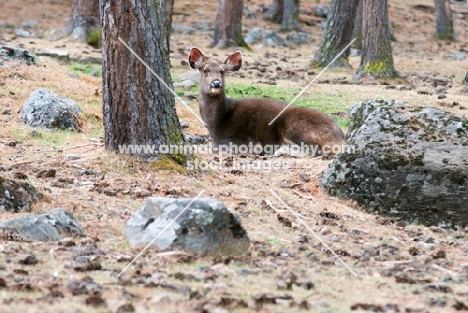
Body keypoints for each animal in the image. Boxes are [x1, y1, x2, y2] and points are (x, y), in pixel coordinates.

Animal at [188, 47, 346, 156]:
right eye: (205, 70)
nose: (216, 84)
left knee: (316, 150)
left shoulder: (244, 137)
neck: (217, 124)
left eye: (222, 71)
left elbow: (216, 147)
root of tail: (341, 136)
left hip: (297, 127)